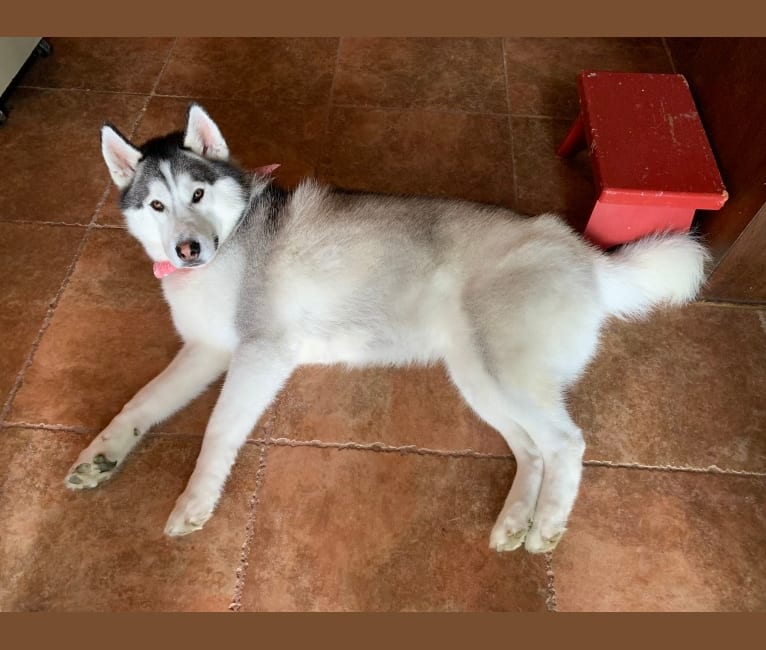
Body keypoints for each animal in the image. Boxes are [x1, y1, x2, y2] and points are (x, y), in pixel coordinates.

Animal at [66, 105, 708, 552]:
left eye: (198, 193)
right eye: (156, 205)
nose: (188, 249)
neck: (233, 241)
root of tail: (583, 251)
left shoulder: (261, 353)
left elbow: (217, 430)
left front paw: (195, 500)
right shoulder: (206, 350)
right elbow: (139, 403)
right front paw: (101, 455)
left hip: (503, 370)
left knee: (566, 444)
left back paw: (546, 526)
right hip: (477, 376)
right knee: (532, 450)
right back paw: (514, 522)